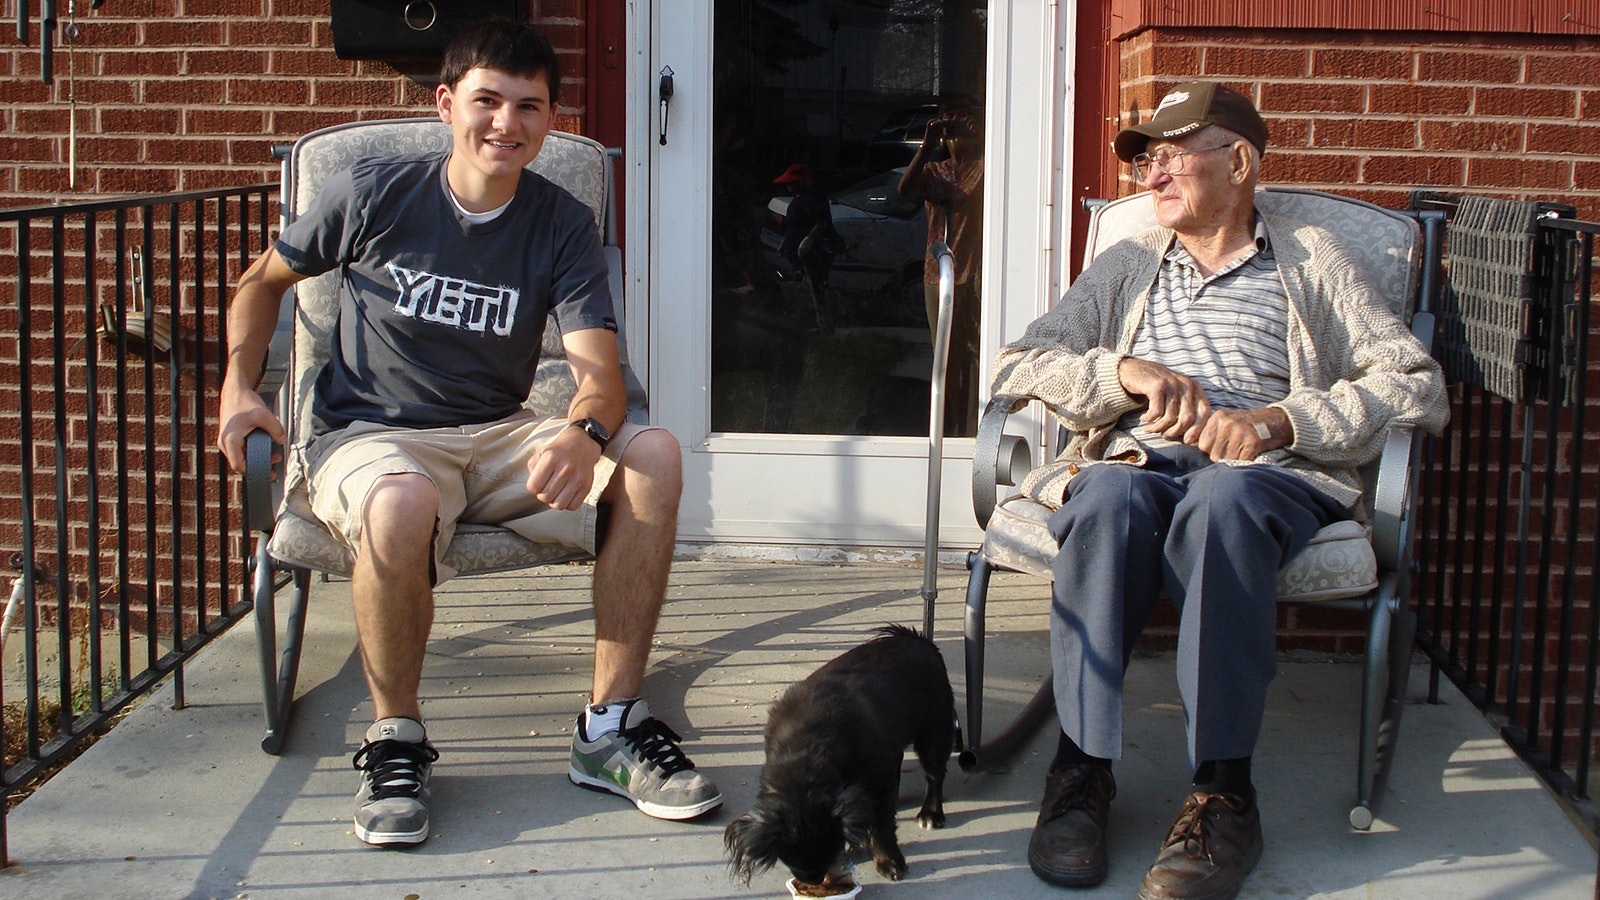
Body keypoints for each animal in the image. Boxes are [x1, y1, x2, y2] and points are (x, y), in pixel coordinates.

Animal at [723, 624, 947, 883]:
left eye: (829, 849)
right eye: (789, 857)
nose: (814, 880)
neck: (806, 746)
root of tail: (916, 639)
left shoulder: (880, 780)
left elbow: (882, 825)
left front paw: (889, 861)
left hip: (934, 733)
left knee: (934, 776)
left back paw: (931, 813)